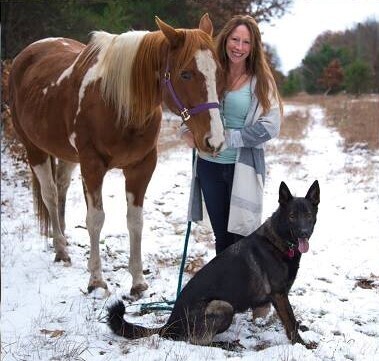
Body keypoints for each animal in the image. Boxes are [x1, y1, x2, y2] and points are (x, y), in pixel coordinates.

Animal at [8, 13, 226, 296]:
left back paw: (63, 239)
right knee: (51, 195)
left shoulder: (141, 167)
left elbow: (135, 221)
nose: (215, 140)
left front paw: (138, 281)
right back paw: (61, 249)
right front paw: (96, 280)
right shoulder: (92, 166)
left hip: (66, 155)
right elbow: (95, 219)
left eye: (218, 72)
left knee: (61, 188)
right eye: (185, 74)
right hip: (34, 149)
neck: (117, 103)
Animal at [107, 180, 320, 346]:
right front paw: (302, 345)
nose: (304, 233)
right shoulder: (279, 294)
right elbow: (290, 322)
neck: (279, 241)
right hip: (223, 306)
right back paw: (226, 345)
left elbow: (291, 321)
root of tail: (169, 324)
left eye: (308, 216)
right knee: (196, 341)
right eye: (292, 216)